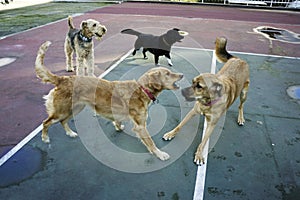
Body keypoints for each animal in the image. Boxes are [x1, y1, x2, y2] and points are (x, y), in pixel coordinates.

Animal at [36, 41, 184, 161]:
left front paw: (118, 127)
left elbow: (117, 121)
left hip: (74, 108)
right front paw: (160, 154)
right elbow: (151, 142)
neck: (142, 89)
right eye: (168, 74)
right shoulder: (140, 126)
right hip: (62, 110)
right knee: (46, 122)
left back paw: (70, 133)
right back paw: (45, 138)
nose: (182, 74)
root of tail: (63, 79)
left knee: (63, 122)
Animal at [163, 36, 250, 165]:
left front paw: (199, 155)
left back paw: (241, 118)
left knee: (241, 106)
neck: (207, 102)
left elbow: (203, 142)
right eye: (193, 82)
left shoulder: (211, 125)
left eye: (199, 86)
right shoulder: (193, 111)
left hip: (244, 93)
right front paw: (171, 133)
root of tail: (238, 59)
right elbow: (180, 125)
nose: (182, 91)